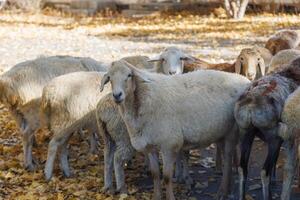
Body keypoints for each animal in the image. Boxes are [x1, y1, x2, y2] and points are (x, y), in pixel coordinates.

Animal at [100, 60, 251, 199]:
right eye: (110, 78)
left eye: (129, 75)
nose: (117, 95)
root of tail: (244, 80)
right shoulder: (150, 146)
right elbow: (155, 175)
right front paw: (157, 196)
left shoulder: (169, 144)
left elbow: (167, 177)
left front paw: (170, 196)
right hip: (220, 131)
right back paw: (228, 189)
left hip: (232, 130)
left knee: (229, 157)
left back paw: (223, 191)